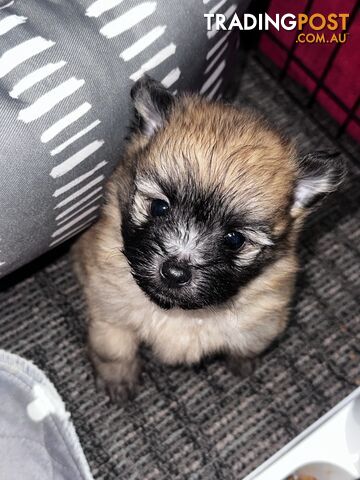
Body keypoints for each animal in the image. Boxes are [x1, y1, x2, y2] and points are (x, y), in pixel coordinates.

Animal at [71, 77, 344, 404]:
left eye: (234, 239)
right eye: (159, 207)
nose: (174, 272)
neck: (181, 312)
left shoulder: (264, 318)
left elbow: (248, 344)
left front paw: (243, 363)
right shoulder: (110, 309)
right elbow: (114, 348)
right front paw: (118, 381)